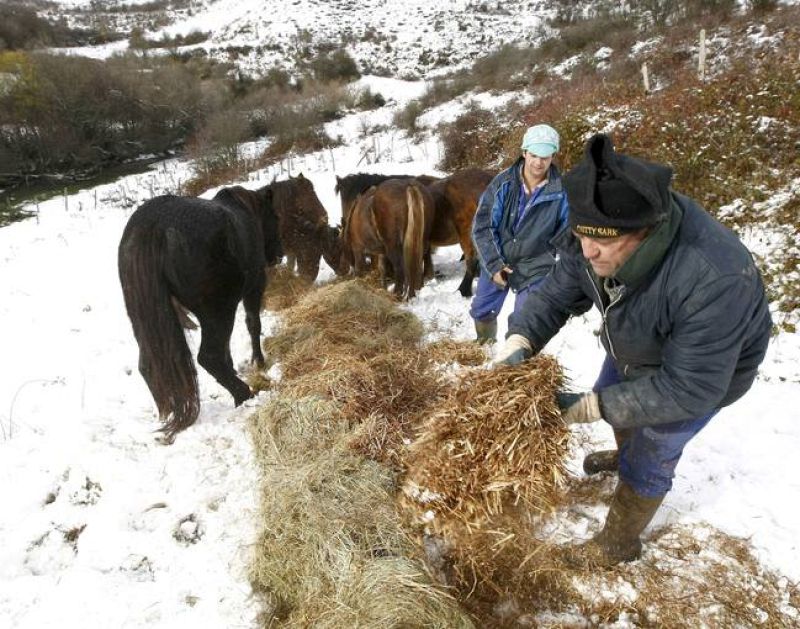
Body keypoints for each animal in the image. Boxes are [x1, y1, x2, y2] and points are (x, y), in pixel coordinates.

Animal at [118, 185, 282, 443]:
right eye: (275, 217)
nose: (279, 254)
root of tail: (155, 225)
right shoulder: (254, 287)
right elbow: (253, 324)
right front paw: (258, 361)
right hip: (217, 311)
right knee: (209, 357)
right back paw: (244, 394)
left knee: (148, 365)